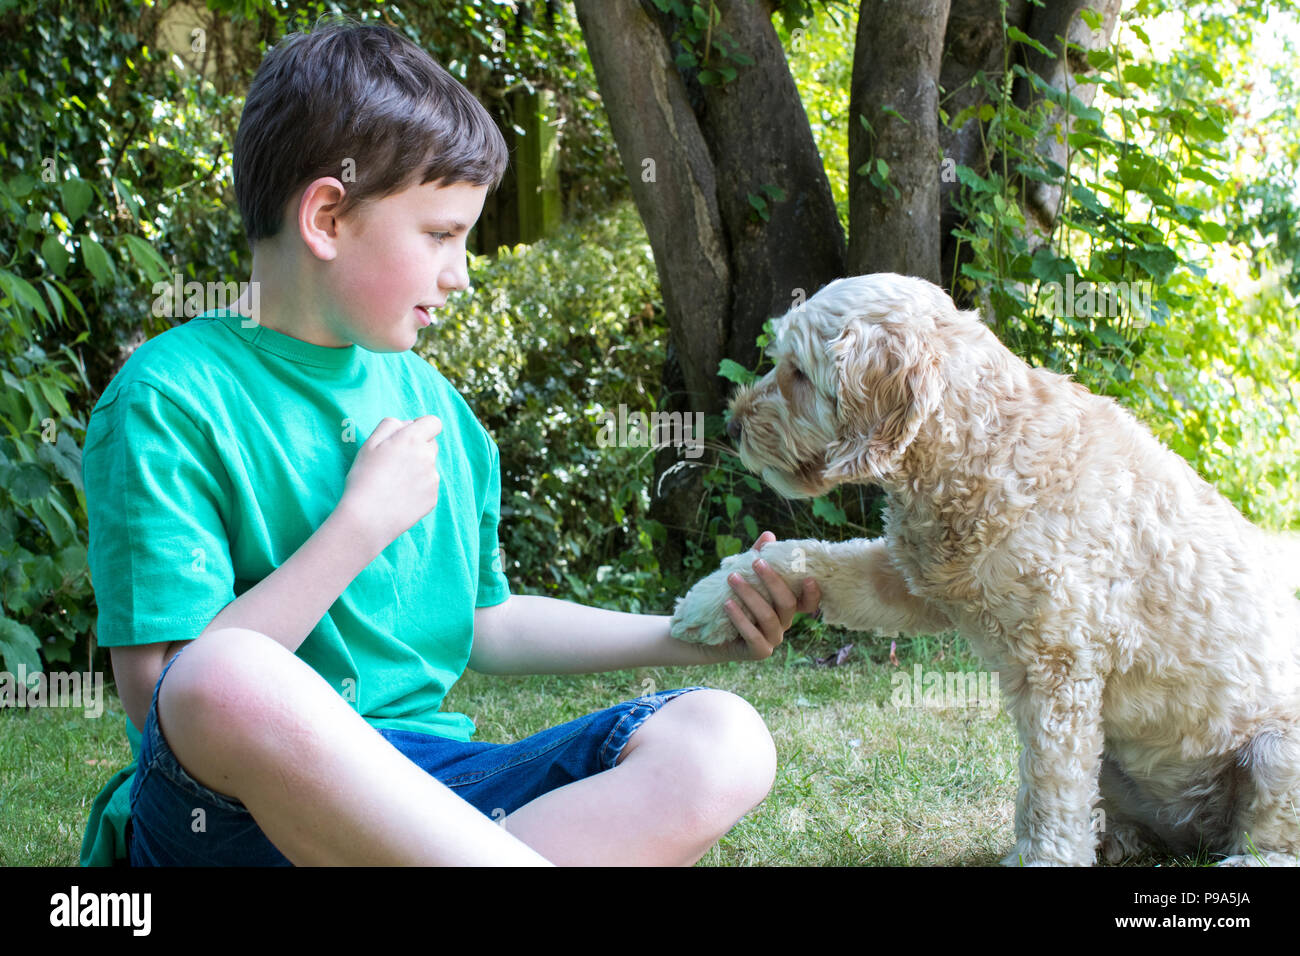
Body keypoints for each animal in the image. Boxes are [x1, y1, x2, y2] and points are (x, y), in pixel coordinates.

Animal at [670, 270, 1300, 868]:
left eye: (799, 372)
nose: (732, 426)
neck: (986, 449)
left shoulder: (1060, 670)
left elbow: (1048, 788)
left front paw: (1043, 858)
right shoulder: (914, 583)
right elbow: (811, 556)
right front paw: (714, 597)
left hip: (1276, 753)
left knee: (1273, 838)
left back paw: (1243, 858)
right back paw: (1117, 839)